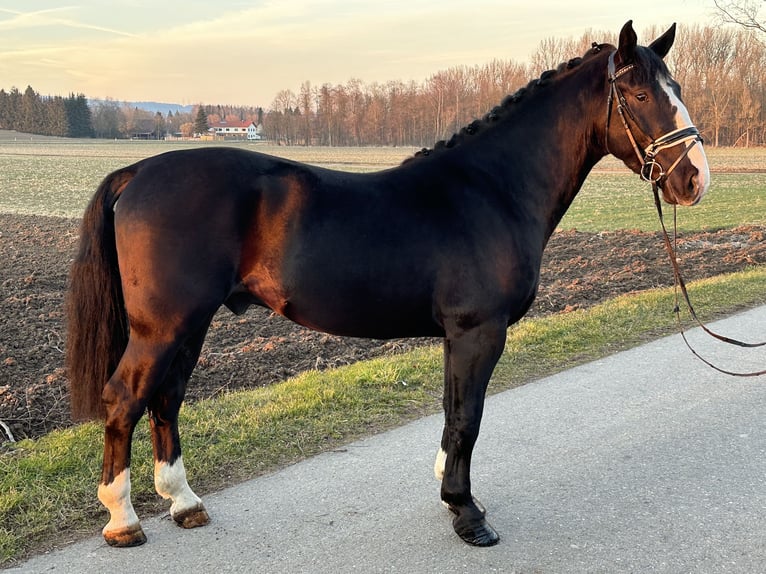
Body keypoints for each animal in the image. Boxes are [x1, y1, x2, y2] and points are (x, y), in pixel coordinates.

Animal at [67, 20, 712, 552]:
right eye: (639, 95)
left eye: (677, 86)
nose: (694, 179)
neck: (491, 189)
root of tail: (138, 172)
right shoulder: (478, 330)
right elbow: (468, 416)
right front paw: (467, 514)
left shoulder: (460, 335)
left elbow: (453, 412)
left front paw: (451, 491)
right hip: (164, 325)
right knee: (124, 399)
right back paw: (123, 520)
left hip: (190, 325)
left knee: (166, 399)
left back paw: (184, 503)